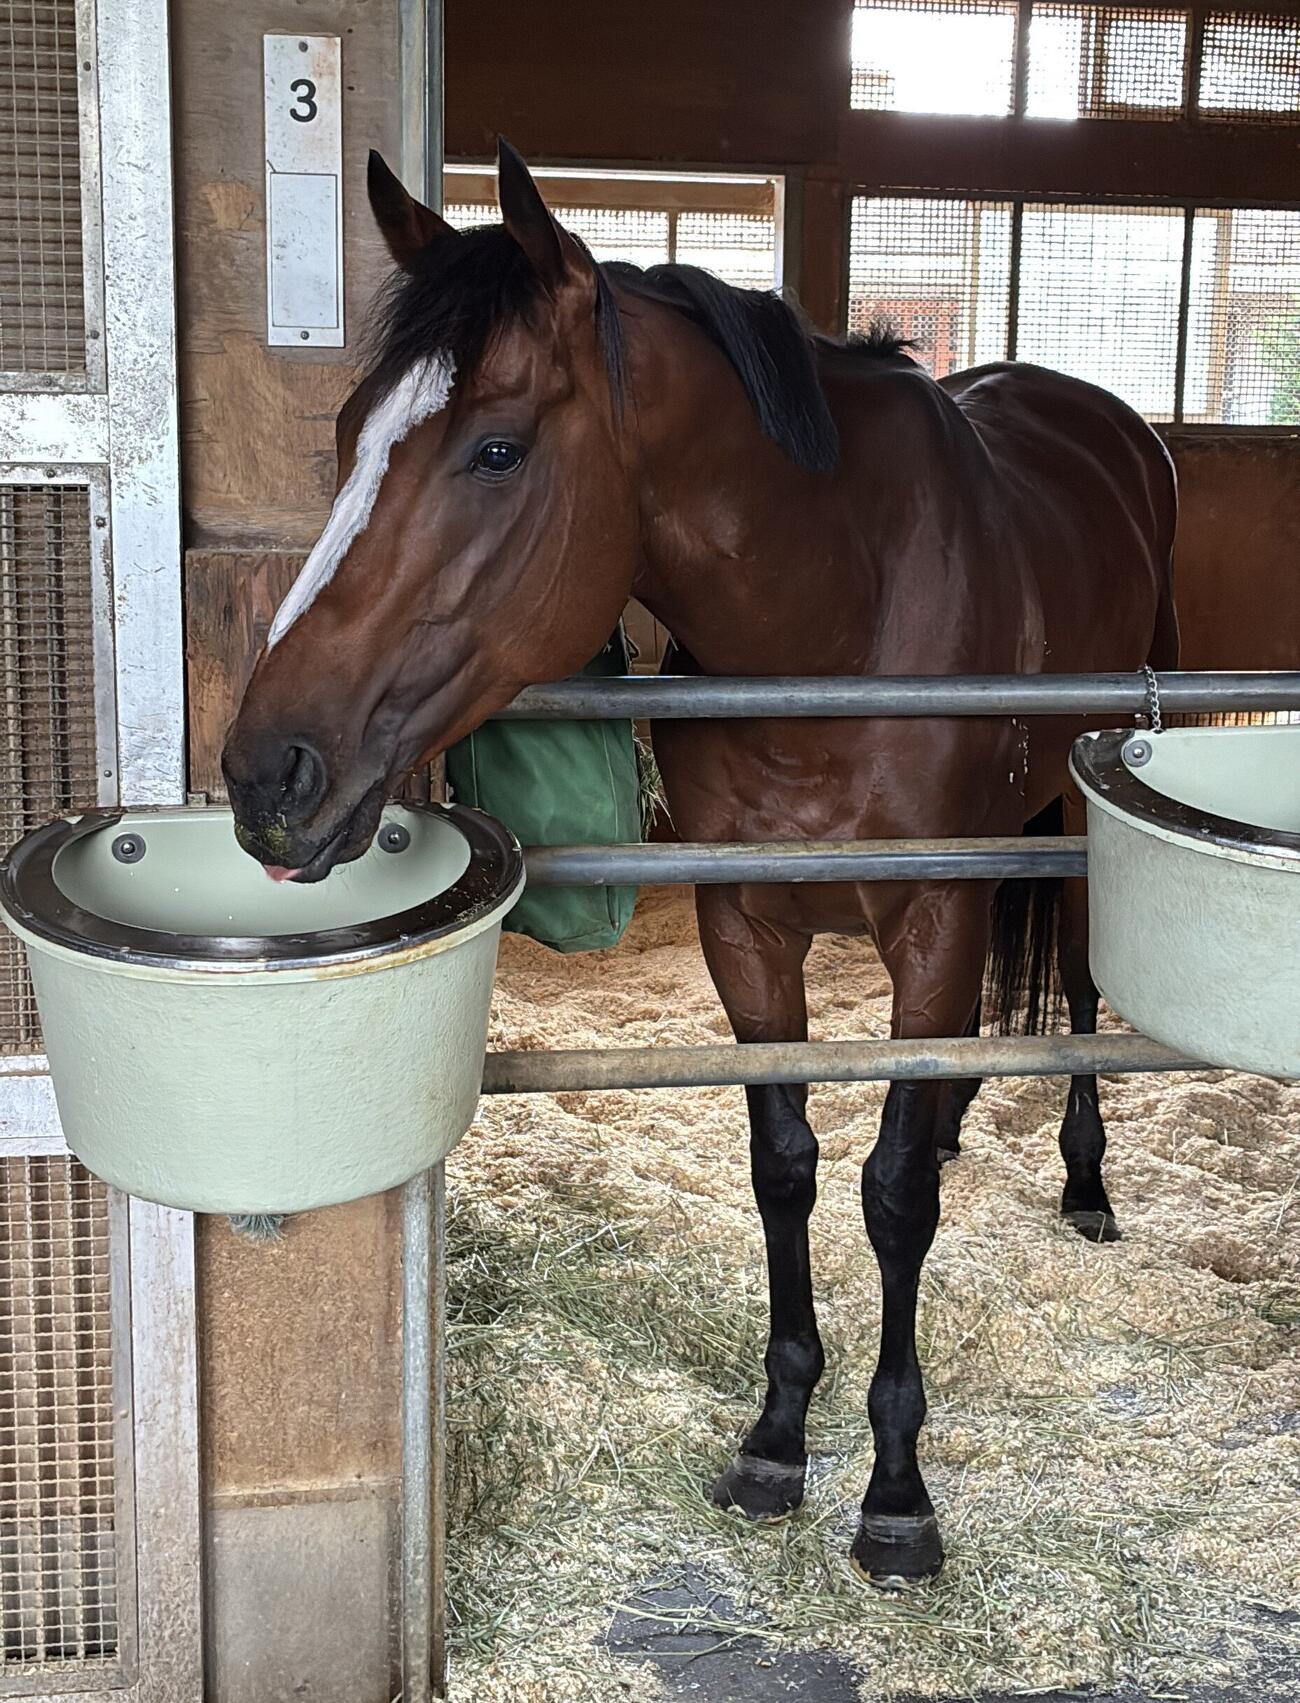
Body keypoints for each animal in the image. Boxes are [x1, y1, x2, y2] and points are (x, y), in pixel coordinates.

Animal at [223, 140, 1179, 1586]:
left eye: (496, 449)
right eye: (346, 435)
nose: (266, 772)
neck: (840, 608)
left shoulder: (936, 915)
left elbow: (891, 1194)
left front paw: (896, 1491)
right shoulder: (747, 921)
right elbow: (786, 1165)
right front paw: (779, 1433)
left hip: (1067, 807)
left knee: (1068, 975)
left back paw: (1082, 1178)